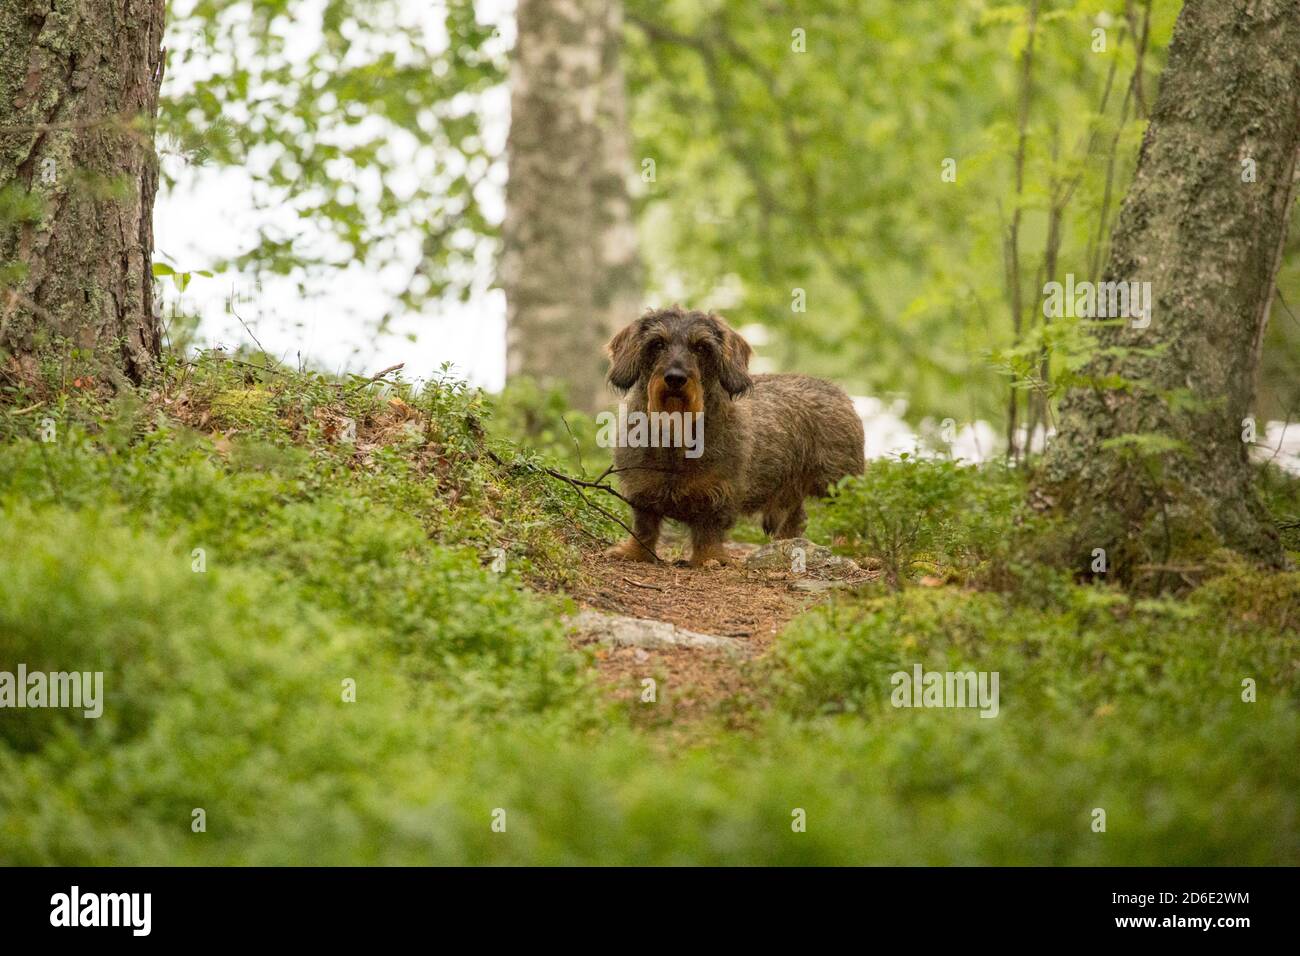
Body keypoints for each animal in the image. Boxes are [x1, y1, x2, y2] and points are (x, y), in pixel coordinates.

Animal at [598, 306, 863, 564]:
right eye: (657, 344)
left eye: (702, 347)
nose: (675, 378)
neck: (677, 433)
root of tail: (837, 391)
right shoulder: (642, 491)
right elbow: (645, 528)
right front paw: (633, 552)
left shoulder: (717, 496)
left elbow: (708, 531)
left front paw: (709, 558)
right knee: (796, 518)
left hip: (838, 484)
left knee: (850, 516)